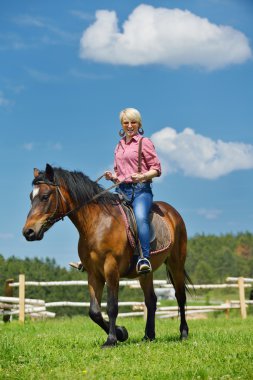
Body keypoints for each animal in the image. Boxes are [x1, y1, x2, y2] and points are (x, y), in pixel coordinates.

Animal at [23, 163, 190, 348]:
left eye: (45, 196)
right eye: (31, 197)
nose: (28, 232)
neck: (97, 223)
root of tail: (173, 213)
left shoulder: (111, 268)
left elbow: (112, 306)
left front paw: (111, 340)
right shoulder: (93, 273)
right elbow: (94, 311)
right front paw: (121, 332)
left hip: (176, 264)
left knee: (180, 297)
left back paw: (183, 334)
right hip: (146, 273)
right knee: (151, 300)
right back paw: (149, 336)